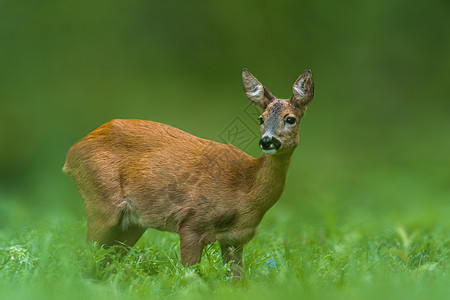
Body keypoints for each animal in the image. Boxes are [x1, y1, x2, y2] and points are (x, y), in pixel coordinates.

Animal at [63, 68, 314, 276]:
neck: (245, 189)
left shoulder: (236, 238)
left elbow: (237, 280)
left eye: (290, 119)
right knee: (86, 256)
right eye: (261, 118)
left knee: (105, 261)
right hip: (101, 204)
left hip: (132, 224)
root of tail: (71, 153)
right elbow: (189, 275)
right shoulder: (192, 221)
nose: (267, 141)